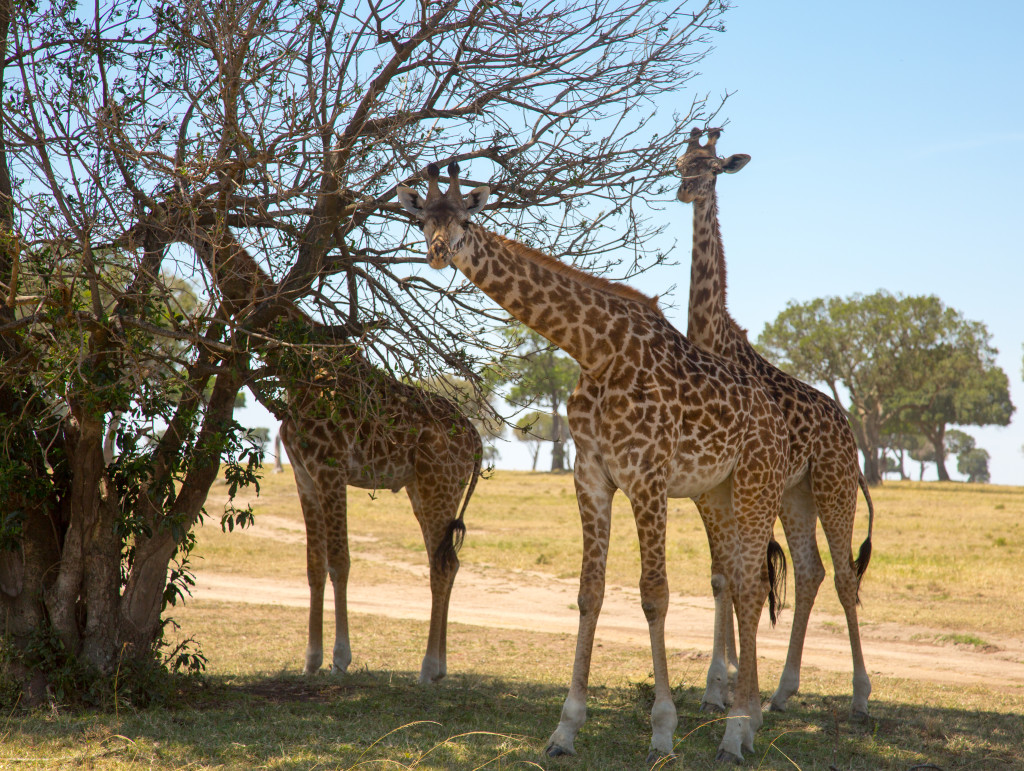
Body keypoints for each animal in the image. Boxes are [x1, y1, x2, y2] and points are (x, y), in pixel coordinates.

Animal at [196, 231, 483, 683]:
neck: (295, 367)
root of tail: (476, 440)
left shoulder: (331, 470)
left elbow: (341, 563)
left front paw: (340, 659)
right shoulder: (305, 476)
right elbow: (314, 566)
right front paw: (311, 659)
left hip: (438, 485)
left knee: (441, 565)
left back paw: (428, 669)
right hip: (423, 489)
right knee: (447, 562)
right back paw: (438, 668)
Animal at [399, 162, 790, 765]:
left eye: (466, 218)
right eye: (423, 221)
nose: (440, 251)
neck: (596, 349)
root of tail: (774, 415)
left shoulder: (647, 477)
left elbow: (654, 596)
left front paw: (662, 733)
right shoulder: (592, 477)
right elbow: (589, 594)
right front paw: (565, 729)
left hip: (756, 485)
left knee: (750, 587)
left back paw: (735, 733)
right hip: (719, 492)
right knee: (742, 582)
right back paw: (743, 728)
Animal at [675, 126, 876, 716]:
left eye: (712, 167)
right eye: (680, 163)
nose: (684, 191)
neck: (710, 338)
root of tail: (849, 433)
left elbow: (745, 576)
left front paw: (723, 684)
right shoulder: (707, 489)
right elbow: (723, 575)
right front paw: (720, 684)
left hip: (833, 486)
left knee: (844, 574)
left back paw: (860, 694)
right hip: (797, 493)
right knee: (811, 571)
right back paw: (784, 691)